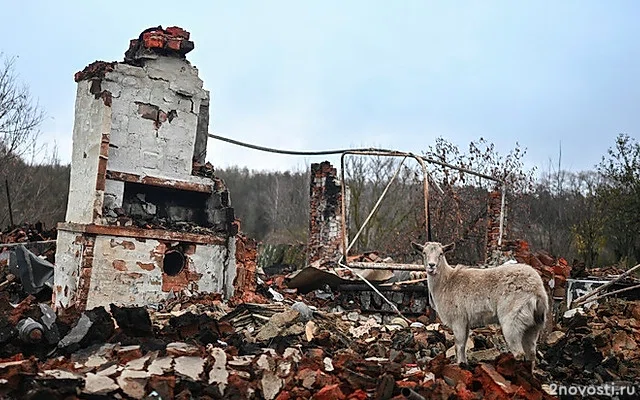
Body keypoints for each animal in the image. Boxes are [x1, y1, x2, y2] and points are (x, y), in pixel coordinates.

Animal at [412, 241, 548, 366]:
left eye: (441, 253)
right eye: (424, 252)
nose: (431, 266)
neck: (446, 282)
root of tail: (537, 291)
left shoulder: (458, 319)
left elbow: (459, 345)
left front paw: (460, 364)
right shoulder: (465, 321)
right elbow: (463, 344)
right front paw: (464, 364)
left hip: (513, 317)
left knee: (519, 352)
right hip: (533, 324)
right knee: (531, 352)